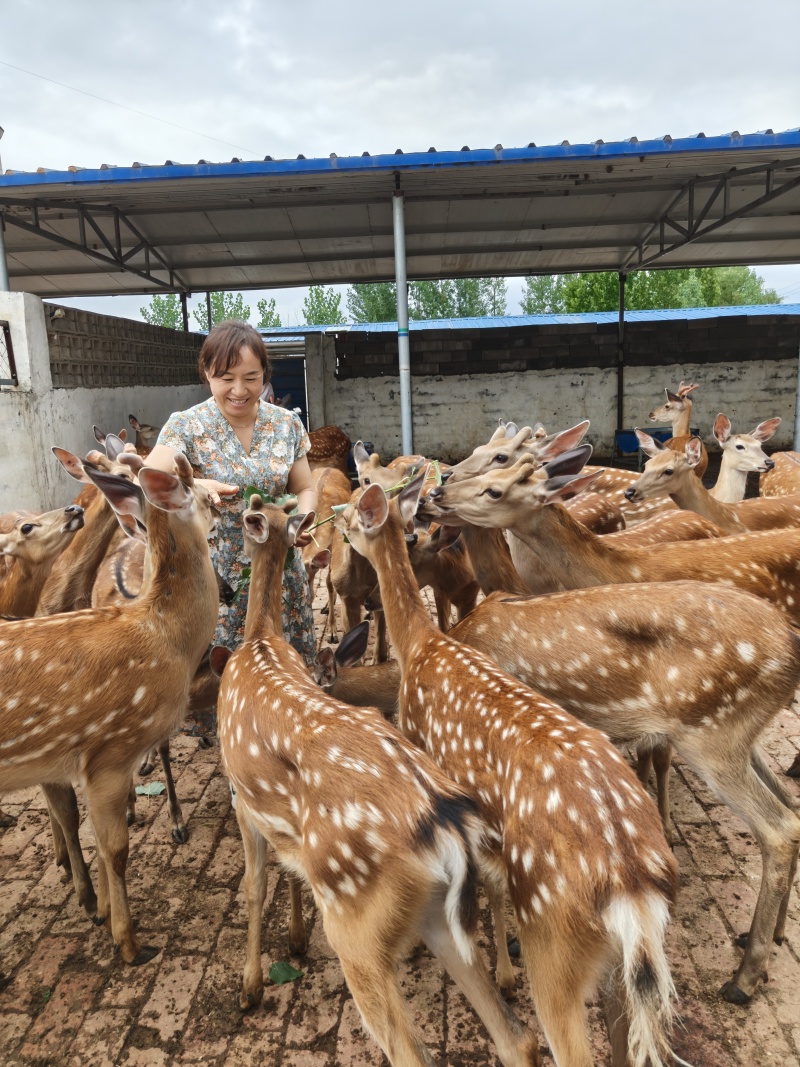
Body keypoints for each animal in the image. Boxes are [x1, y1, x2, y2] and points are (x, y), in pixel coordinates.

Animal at [0, 449, 219, 965]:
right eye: (203, 495)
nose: (225, 505)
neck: (165, 639)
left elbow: (98, 839)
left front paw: (99, 909)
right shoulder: (110, 751)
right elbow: (115, 848)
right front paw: (129, 941)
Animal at [212, 494, 539, 1067]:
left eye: (246, 518)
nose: (226, 588)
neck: (260, 640)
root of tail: (446, 829)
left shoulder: (242, 799)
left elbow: (254, 886)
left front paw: (249, 986)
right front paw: (293, 940)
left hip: (355, 923)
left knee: (410, 1050)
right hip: (437, 915)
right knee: (517, 1037)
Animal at [336, 475, 683, 1067]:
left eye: (352, 517)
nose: (333, 527)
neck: (422, 646)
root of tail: (631, 884)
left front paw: (497, 970)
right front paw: (501, 967)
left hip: (555, 940)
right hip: (626, 963)